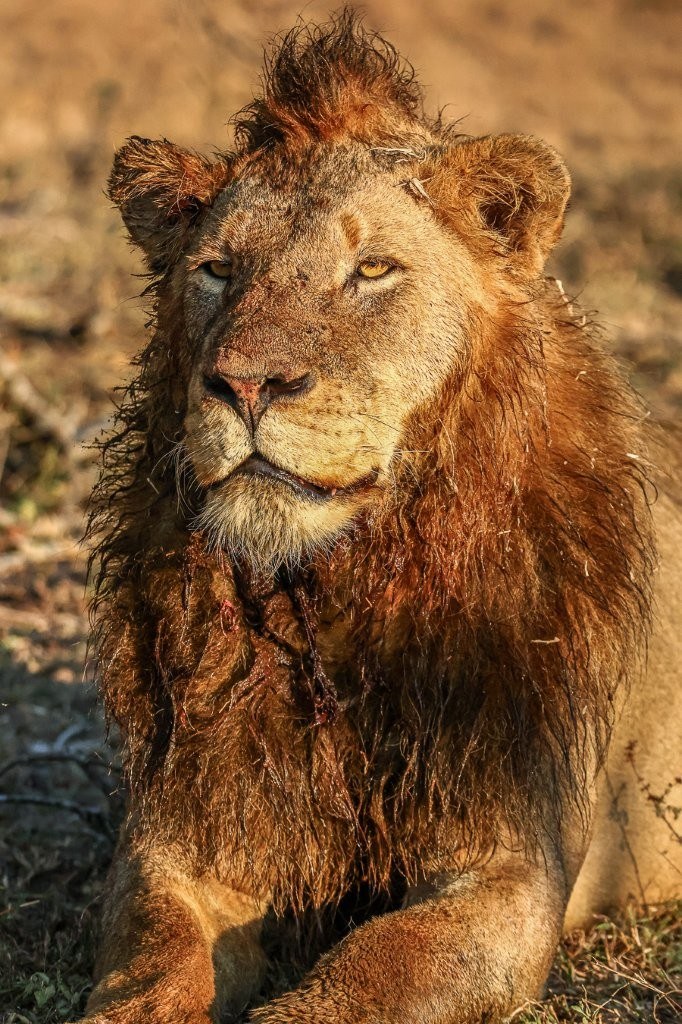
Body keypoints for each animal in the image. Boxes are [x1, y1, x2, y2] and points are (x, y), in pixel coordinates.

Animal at [80, 11, 681, 1024]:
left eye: (371, 270)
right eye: (217, 269)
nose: (246, 384)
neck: (336, 592)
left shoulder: (510, 867)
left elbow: (369, 973)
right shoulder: (179, 839)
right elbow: (149, 972)